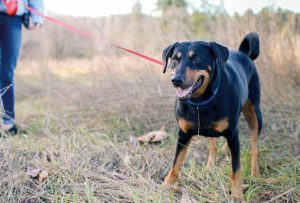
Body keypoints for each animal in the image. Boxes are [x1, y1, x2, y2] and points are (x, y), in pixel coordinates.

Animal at [162, 32, 262, 200]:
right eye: (175, 59)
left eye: (197, 58)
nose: (176, 80)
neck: (200, 101)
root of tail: (242, 53)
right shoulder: (183, 134)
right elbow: (176, 163)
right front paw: (166, 185)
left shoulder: (233, 136)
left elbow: (236, 169)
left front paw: (237, 195)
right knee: (212, 143)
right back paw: (209, 167)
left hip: (255, 113)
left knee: (254, 144)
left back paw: (255, 173)